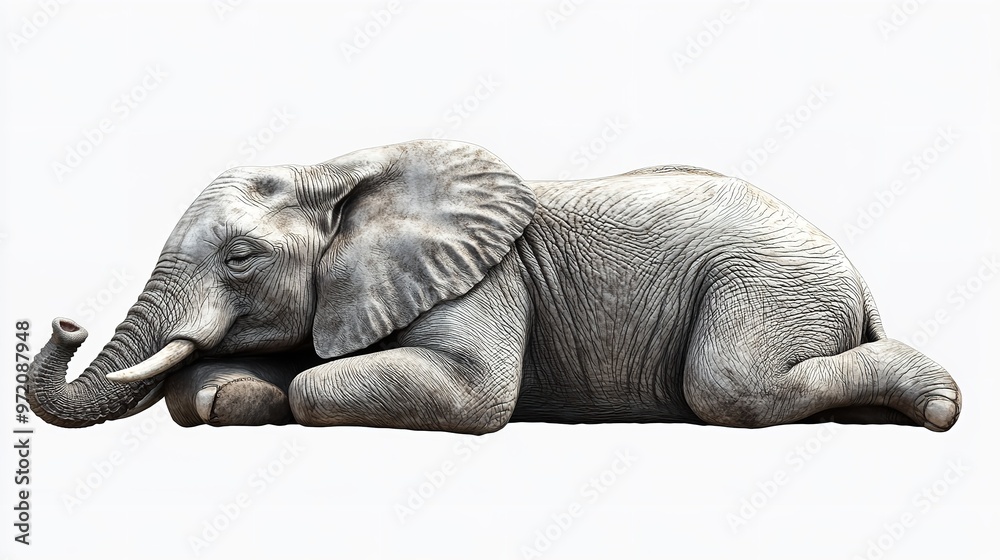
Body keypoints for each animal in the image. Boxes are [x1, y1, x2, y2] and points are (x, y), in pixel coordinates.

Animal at [28, 139, 961, 434]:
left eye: (239, 259)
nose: (65, 323)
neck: (341, 168)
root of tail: (856, 274)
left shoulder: (486, 280)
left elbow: (466, 395)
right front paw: (228, 394)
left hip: (767, 285)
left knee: (728, 387)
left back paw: (938, 402)